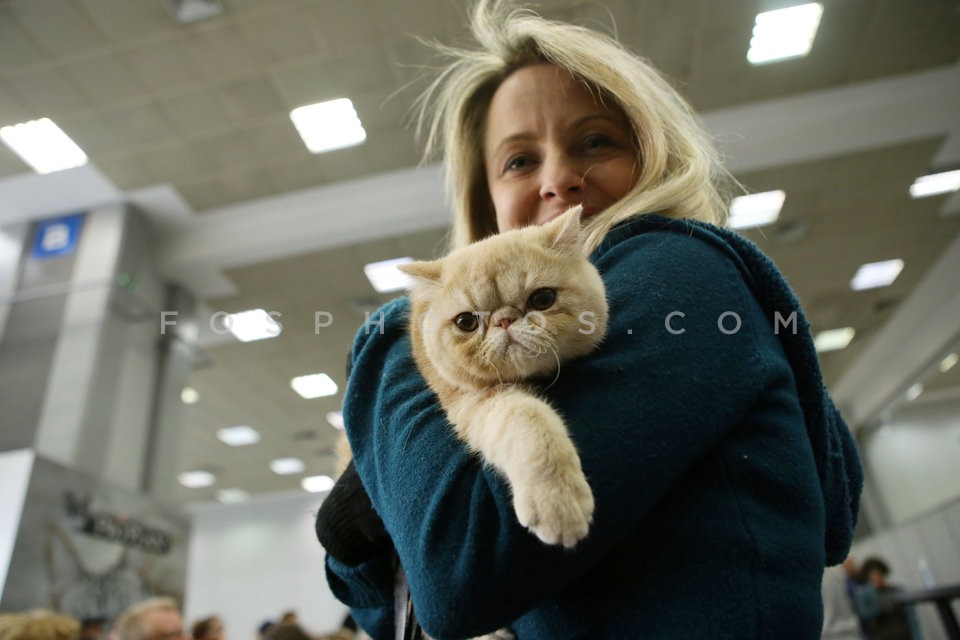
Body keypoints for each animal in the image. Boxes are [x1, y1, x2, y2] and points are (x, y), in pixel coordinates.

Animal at [398, 208, 608, 548]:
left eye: (543, 299)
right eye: (466, 322)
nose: (505, 320)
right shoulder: (474, 402)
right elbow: (528, 418)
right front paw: (557, 500)